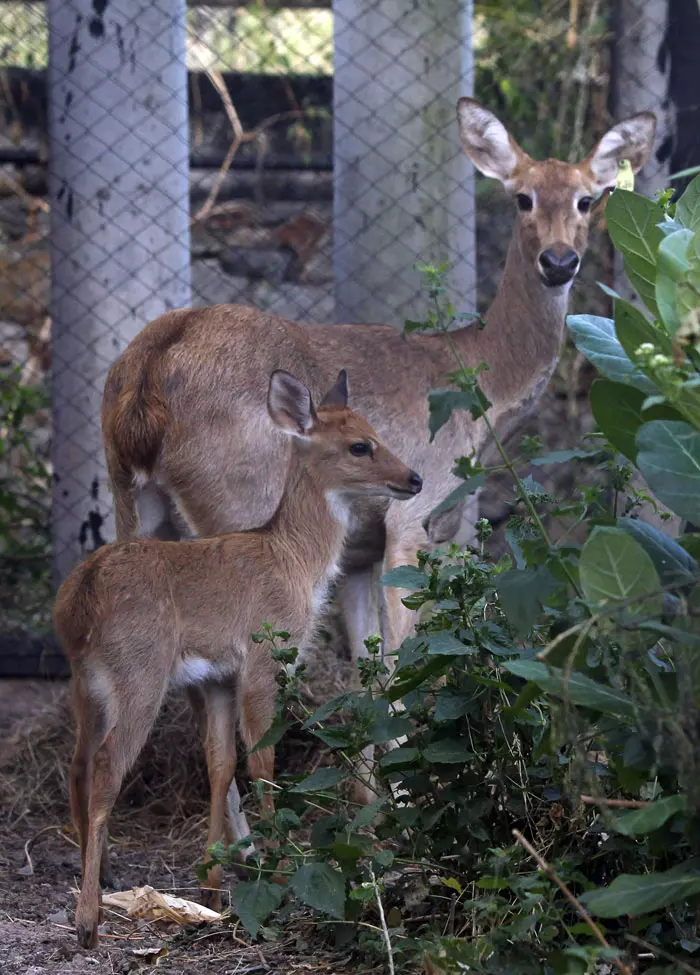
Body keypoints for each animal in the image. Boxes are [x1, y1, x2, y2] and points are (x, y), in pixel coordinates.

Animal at [58, 370, 422, 948]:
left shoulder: (217, 678)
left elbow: (221, 763)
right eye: (359, 445)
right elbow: (263, 761)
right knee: (107, 766)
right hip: (138, 674)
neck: (294, 560)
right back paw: (88, 922)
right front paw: (280, 871)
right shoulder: (261, 660)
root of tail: (75, 602)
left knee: (76, 765)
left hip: (87, 683)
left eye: (373, 431)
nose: (414, 478)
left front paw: (212, 890)